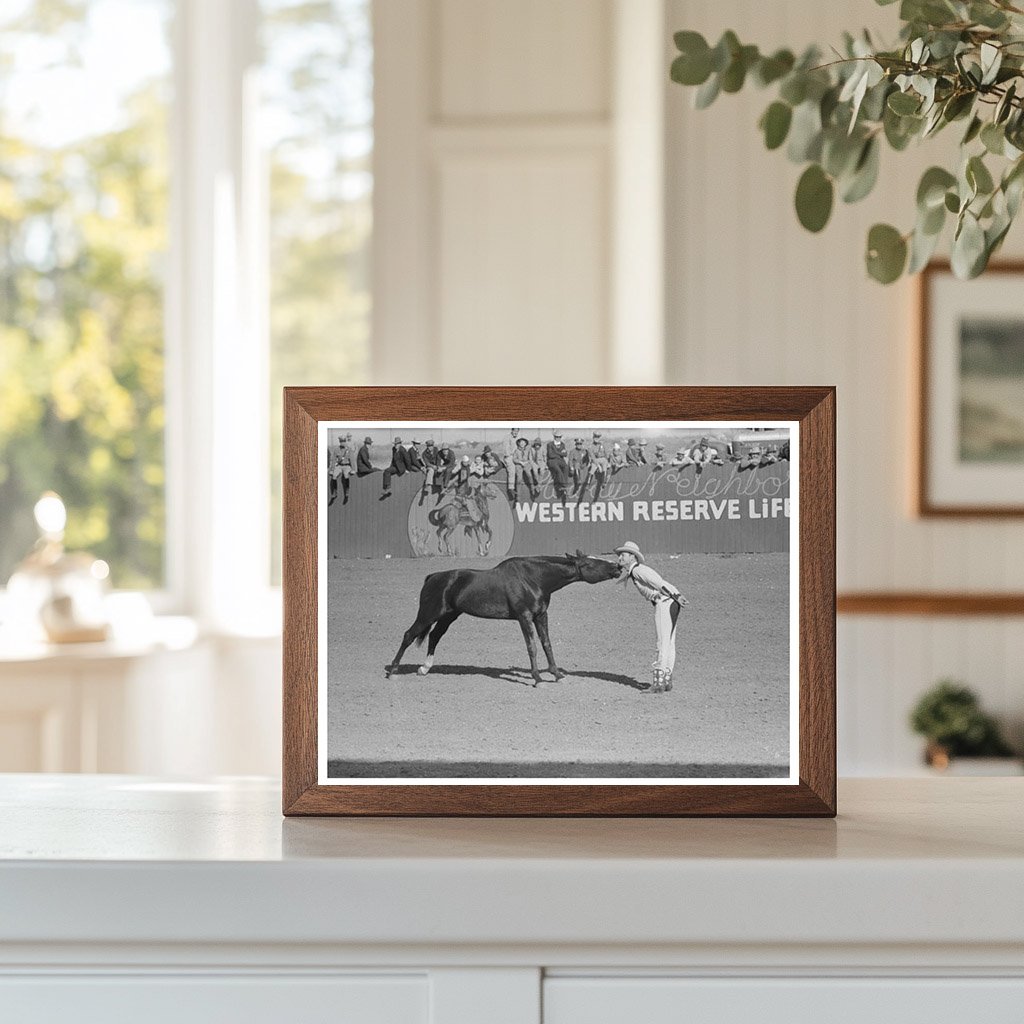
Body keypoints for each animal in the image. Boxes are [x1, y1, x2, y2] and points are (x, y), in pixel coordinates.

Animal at [385, 548, 618, 684]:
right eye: (590, 564)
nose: (617, 566)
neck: (534, 578)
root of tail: (432, 577)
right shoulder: (524, 617)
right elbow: (532, 647)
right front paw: (537, 677)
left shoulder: (541, 616)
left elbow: (546, 644)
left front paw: (556, 674)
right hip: (428, 614)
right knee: (409, 635)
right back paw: (393, 670)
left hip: (448, 616)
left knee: (434, 636)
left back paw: (424, 669)